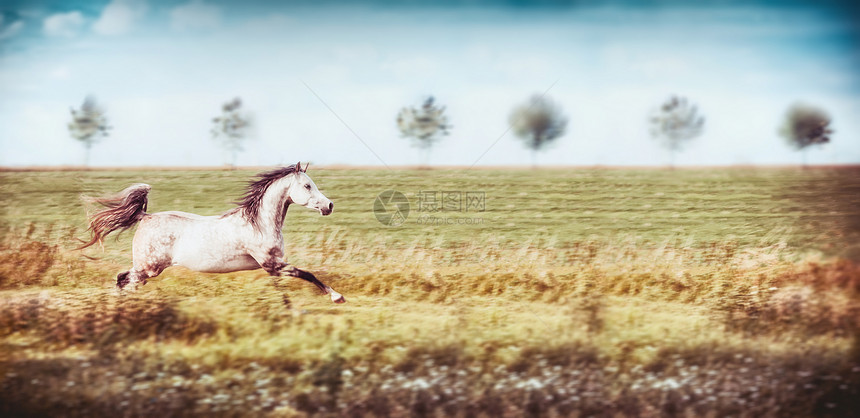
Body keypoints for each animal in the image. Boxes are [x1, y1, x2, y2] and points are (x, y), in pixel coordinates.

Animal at [78, 162, 346, 304]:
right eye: (307, 185)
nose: (330, 205)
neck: (259, 223)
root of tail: (146, 216)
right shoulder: (272, 264)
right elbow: (308, 274)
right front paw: (337, 297)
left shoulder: (273, 267)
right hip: (148, 268)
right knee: (123, 279)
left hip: (146, 269)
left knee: (123, 280)